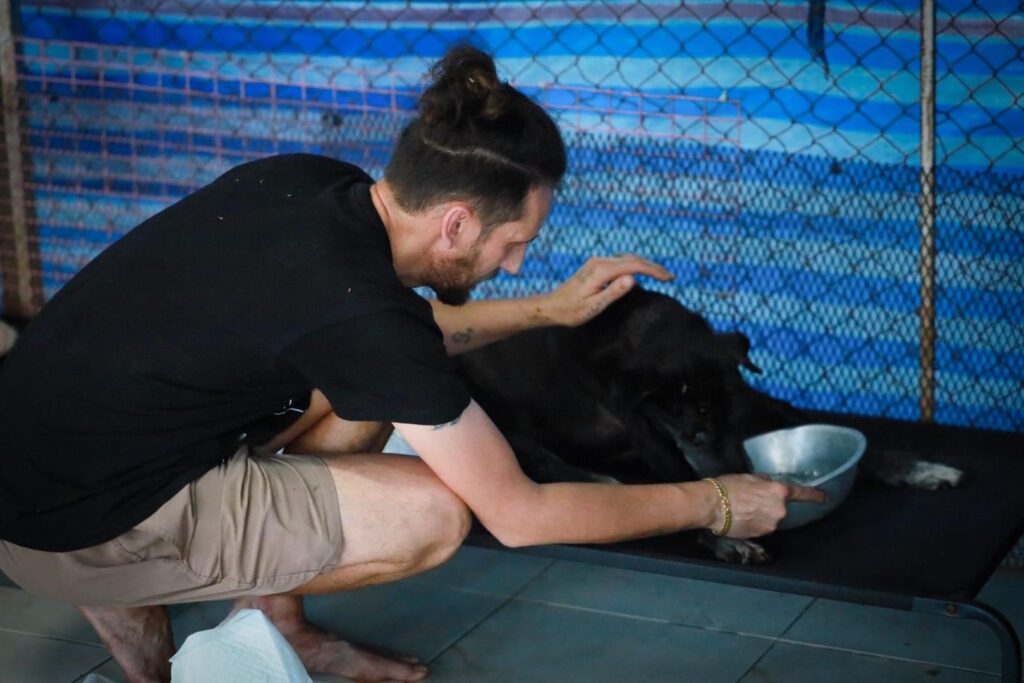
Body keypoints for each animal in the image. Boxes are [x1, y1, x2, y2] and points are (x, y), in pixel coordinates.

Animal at [460, 286, 962, 565]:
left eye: (736, 425)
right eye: (697, 435)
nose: (744, 475)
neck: (650, 332)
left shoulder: (757, 399)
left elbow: (869, 446)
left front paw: (918, 468)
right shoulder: (647, 430)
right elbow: (682, 488)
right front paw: (727, 539)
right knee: (545, 464)